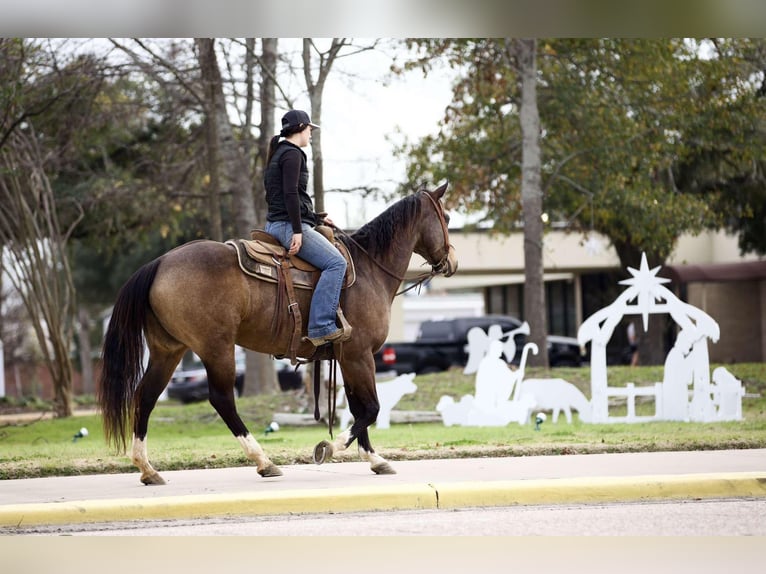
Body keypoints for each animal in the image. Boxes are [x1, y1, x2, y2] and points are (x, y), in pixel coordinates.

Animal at [95, 183, 456, 486]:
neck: (370, 271)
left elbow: (359, 408)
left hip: (168, 350)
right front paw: (329, 447)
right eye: (448, 217)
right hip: (217, 348)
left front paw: (374, 458)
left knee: (146, 396)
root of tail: (158, 263)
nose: (452, 261)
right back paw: (263, 461)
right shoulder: (359, 355)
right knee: (222, 400)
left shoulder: (347, 357)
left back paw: (147, 468)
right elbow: (370, 409)